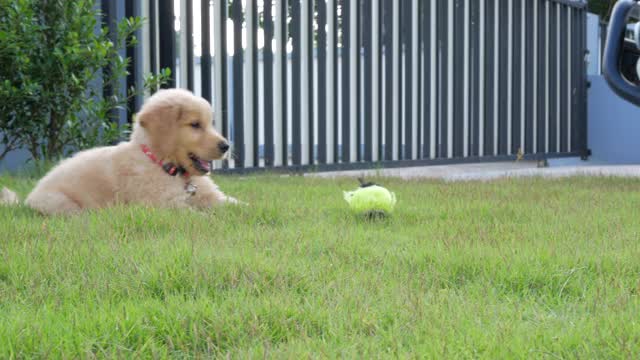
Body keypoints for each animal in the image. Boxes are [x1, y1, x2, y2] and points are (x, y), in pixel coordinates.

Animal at [5, 88, 239, 215]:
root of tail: (26, 200)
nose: (226, 146)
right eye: (195, 125)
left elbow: (236, 205)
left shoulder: (213, 197)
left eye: (210, 123)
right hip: (59, 203)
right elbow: (196, 215)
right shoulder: (164, 204)